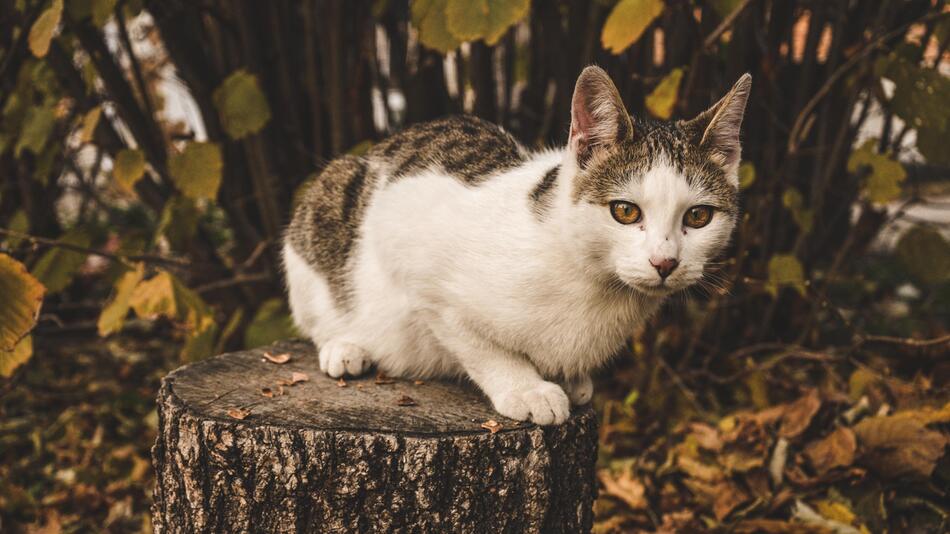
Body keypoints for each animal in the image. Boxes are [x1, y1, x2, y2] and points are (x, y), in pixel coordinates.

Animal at [282, 66, 752, 428]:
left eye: (698, 217)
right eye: (624, 211)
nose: (665, 262)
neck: (589, 280)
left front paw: (569, 377)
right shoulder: (421, 267)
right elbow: (479, 345)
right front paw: (526, 387)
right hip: (326, 205)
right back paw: (344, 347)